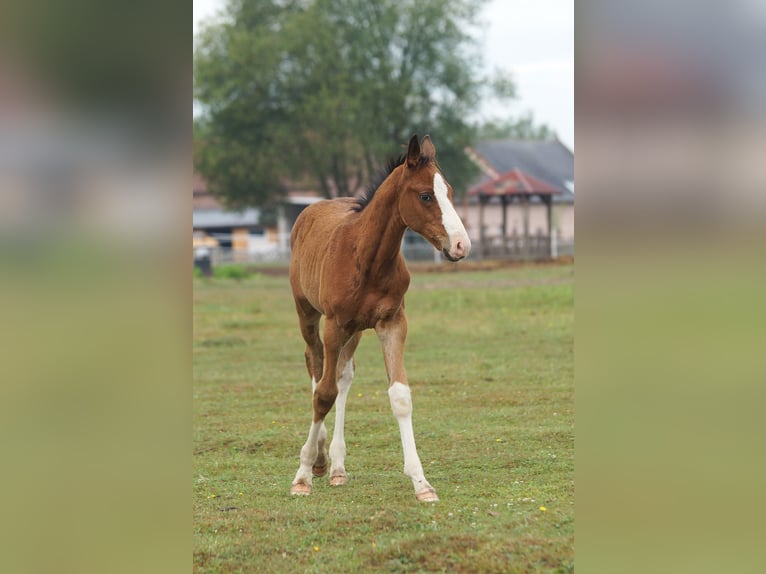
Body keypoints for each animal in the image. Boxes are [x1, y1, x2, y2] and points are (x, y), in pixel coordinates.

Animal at [288, 136, 472, 504]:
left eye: (449, 191)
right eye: (425, 195)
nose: (462, 245)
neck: (367, 257)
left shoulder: (392, 322)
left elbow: (399, 396)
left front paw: (422, 483)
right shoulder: (333, 324)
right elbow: (323, 394)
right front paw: (302, 474)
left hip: (355, 329)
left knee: (343, 375)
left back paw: (337, 467)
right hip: (309, 314)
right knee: (316, 367)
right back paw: (318, 460)